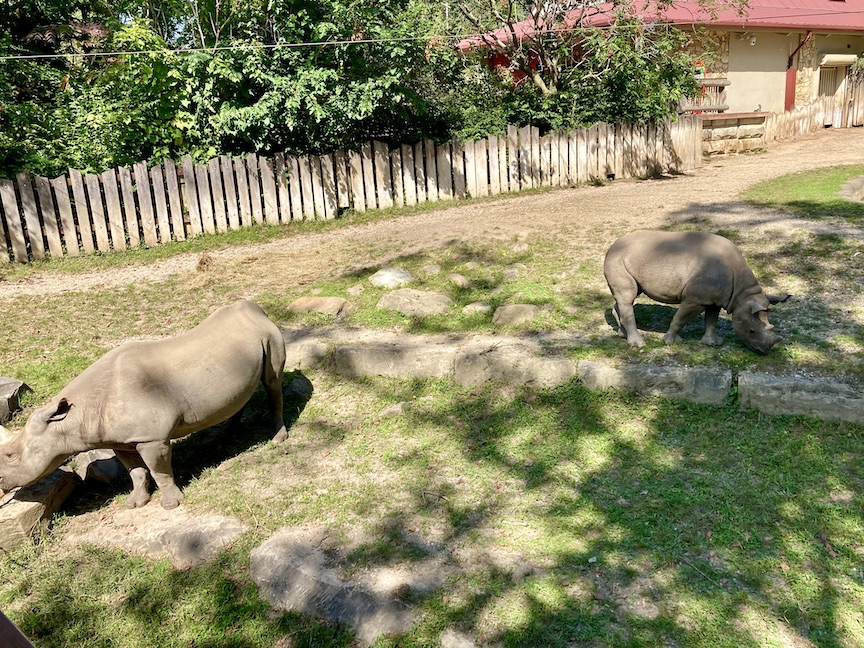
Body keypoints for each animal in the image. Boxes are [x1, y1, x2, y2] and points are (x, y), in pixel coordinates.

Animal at [0, 302, 290, 508]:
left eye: (10, 455)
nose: (2, 484)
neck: (73, 416)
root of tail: (257, 310)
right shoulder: (121, 440)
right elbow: (136, 472)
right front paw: (136, 504)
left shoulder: (152, 437)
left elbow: (158, 470)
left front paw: (171, 505)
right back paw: (229, 435)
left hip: (269, 336)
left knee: (272, 382)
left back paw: (278, 438)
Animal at [604, 230, 788, 354]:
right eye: (751, 331)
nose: (763, 351)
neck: (741, 296)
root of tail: (612, 246)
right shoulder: (695, 299)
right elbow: (680, 318)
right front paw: (670, 341)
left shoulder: (716, 299)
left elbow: (711, 320)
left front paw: (713, 343)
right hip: (617, 259)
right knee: (627, 296)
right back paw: (638, 344)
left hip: (630, 258)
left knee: (626, 297)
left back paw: (622, 335)